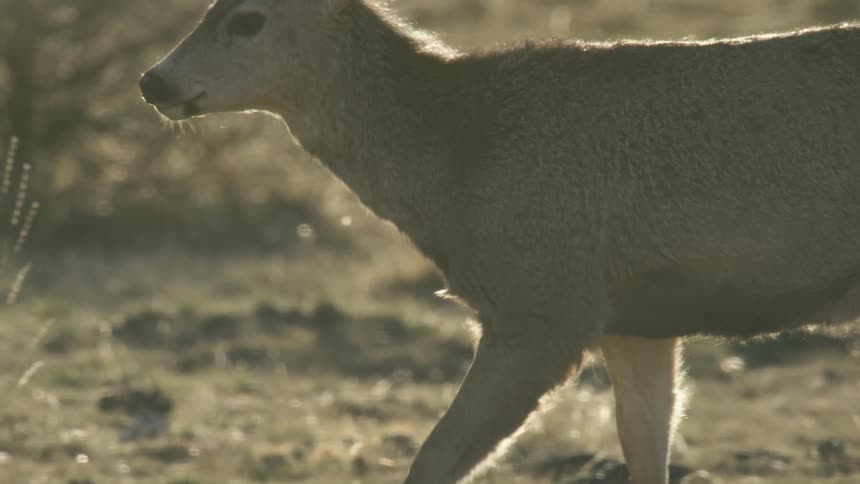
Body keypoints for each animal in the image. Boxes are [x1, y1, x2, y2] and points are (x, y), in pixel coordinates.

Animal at [139, 1, 860, 483]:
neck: (454, 158)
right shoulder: (634, 319)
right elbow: (644, 445)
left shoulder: (543, 307)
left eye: (247, 19)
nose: (153, 81)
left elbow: (433, 459)